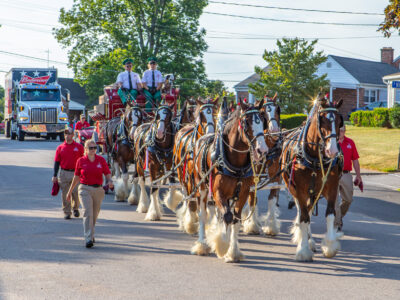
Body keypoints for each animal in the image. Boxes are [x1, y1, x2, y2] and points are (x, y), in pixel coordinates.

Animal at [282, 94, 344, 260]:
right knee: (302, 212)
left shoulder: (332, 187)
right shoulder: (300, 190)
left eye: (339, 121)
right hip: (294, 189)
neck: (315, 158)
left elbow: (330, 215)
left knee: (309, 211)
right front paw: (303, 249)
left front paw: (330, 246)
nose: (332, 151)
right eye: (323, 120)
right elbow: (303, 218)